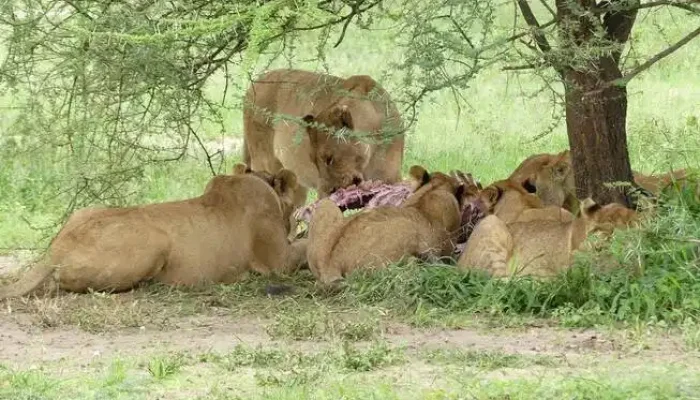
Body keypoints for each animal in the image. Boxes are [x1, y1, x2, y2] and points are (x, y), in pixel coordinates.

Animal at [242, 68, 405, 204]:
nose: (331, 190)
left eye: (329, 159)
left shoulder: (391, 179)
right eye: (313, 160)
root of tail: (253, 84)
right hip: (265, 167)